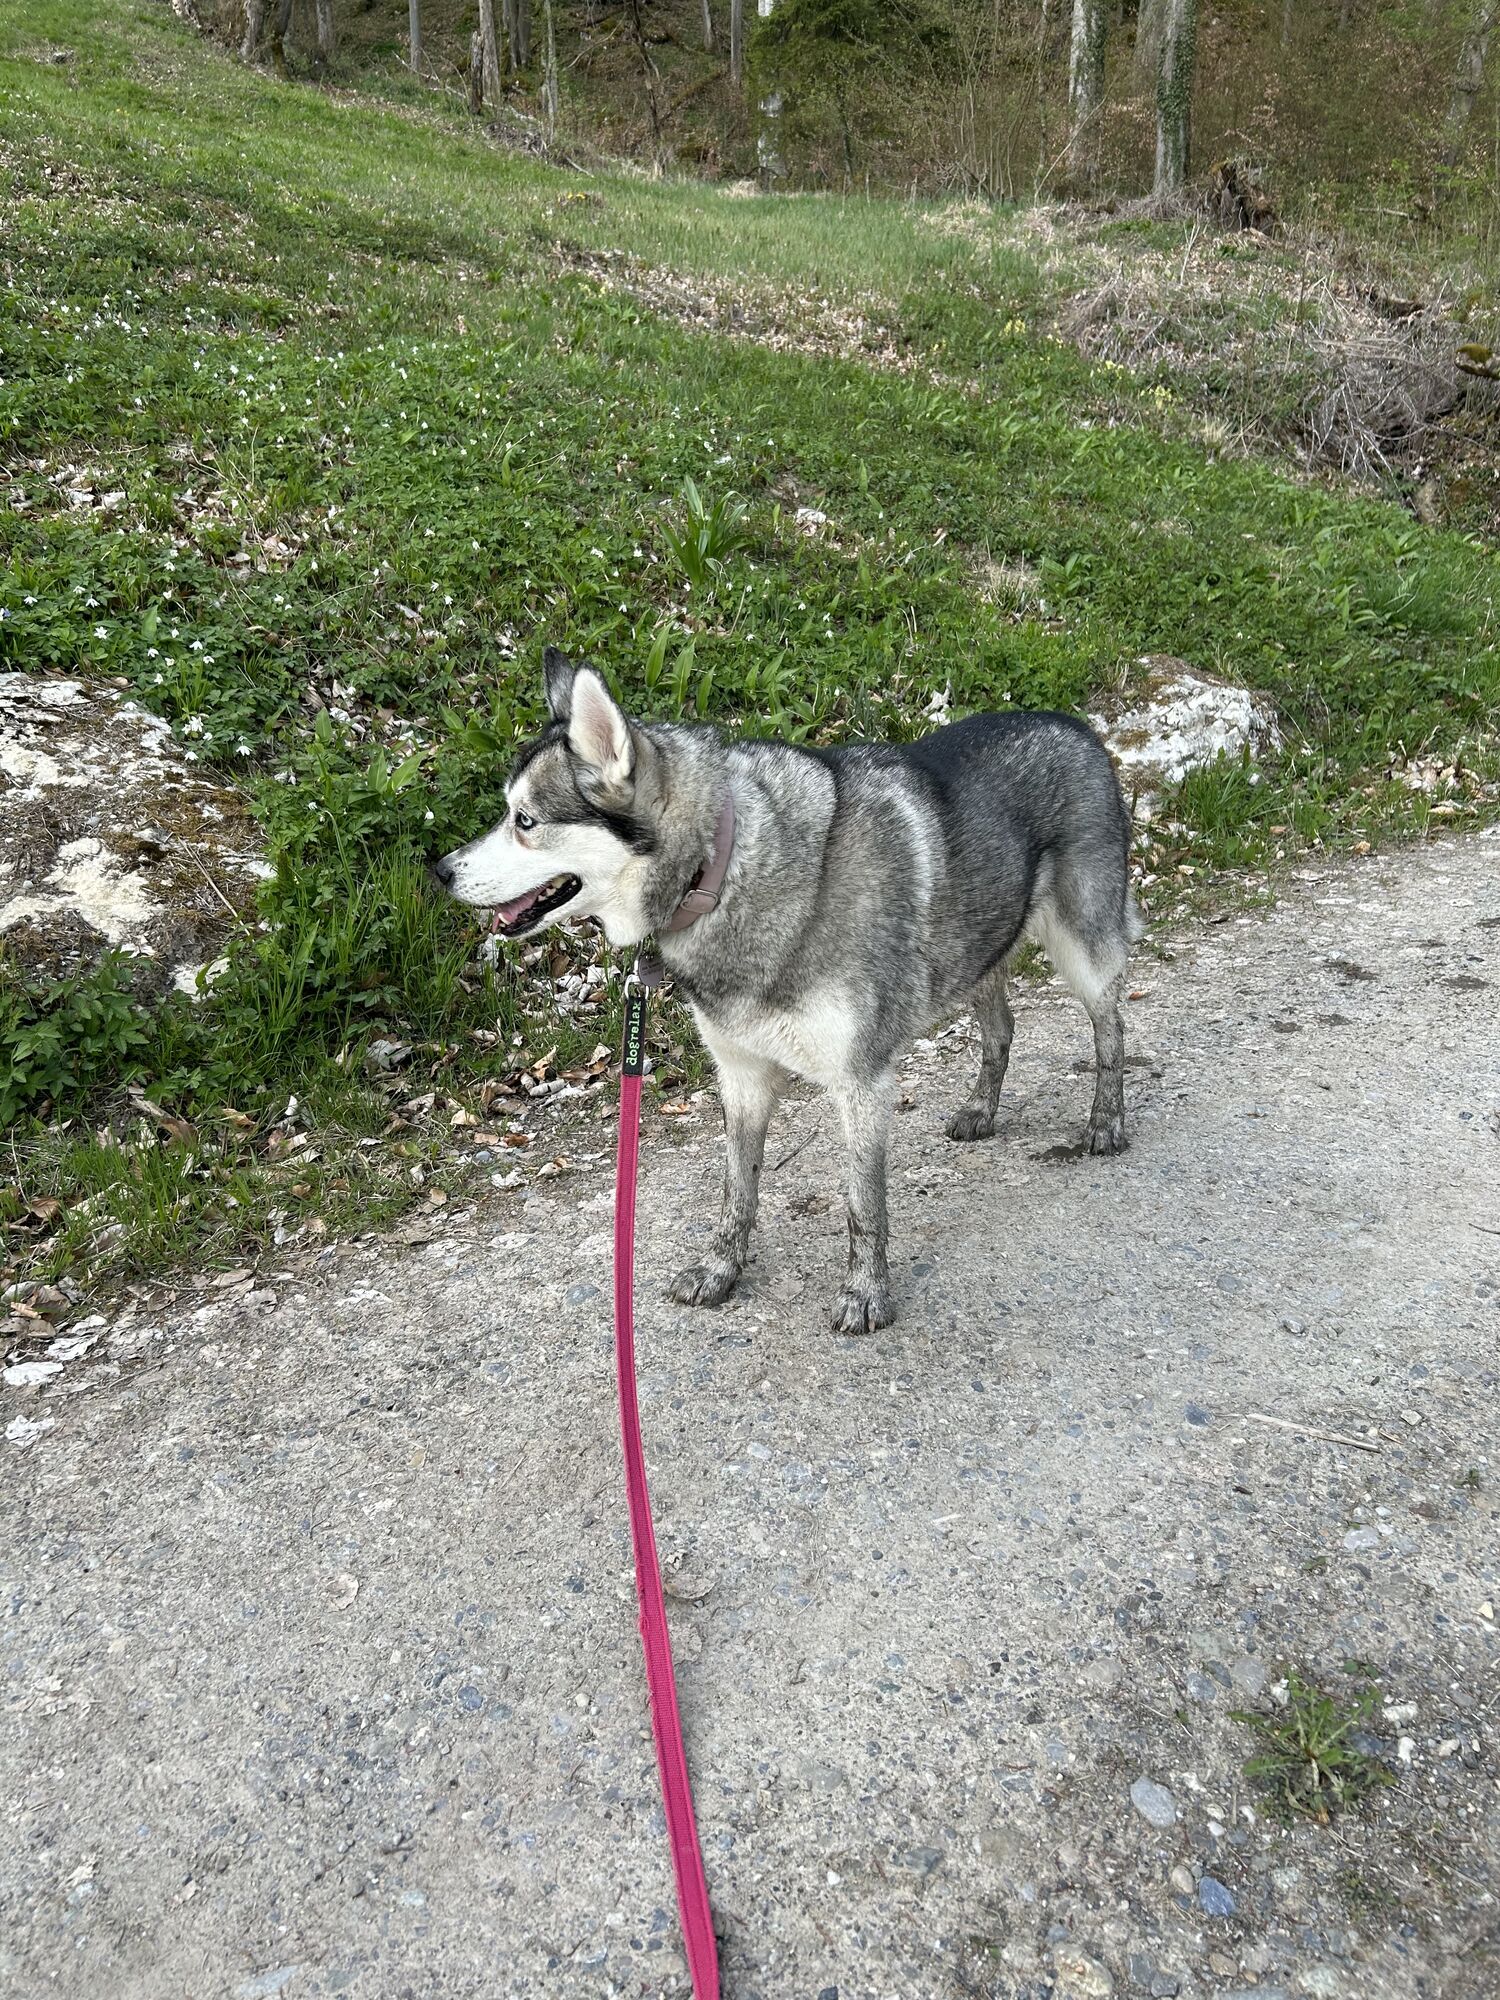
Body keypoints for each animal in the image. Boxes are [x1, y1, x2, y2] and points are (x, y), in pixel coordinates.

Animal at [436, 648, 1141, 1335]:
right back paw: (982, 1110)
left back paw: (1104, 1122)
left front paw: (865, 1293)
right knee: (1001, 1028)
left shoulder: (861, 1083)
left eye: (524, 820)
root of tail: (1074, 723)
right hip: (980, 948)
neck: (719, 869)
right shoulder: (742, 1078)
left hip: (1082, 952)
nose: (438, 870)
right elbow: (736, 1191)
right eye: (507, 813)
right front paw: (721, 1269)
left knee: (1110, 1030)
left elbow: (863, 1206)